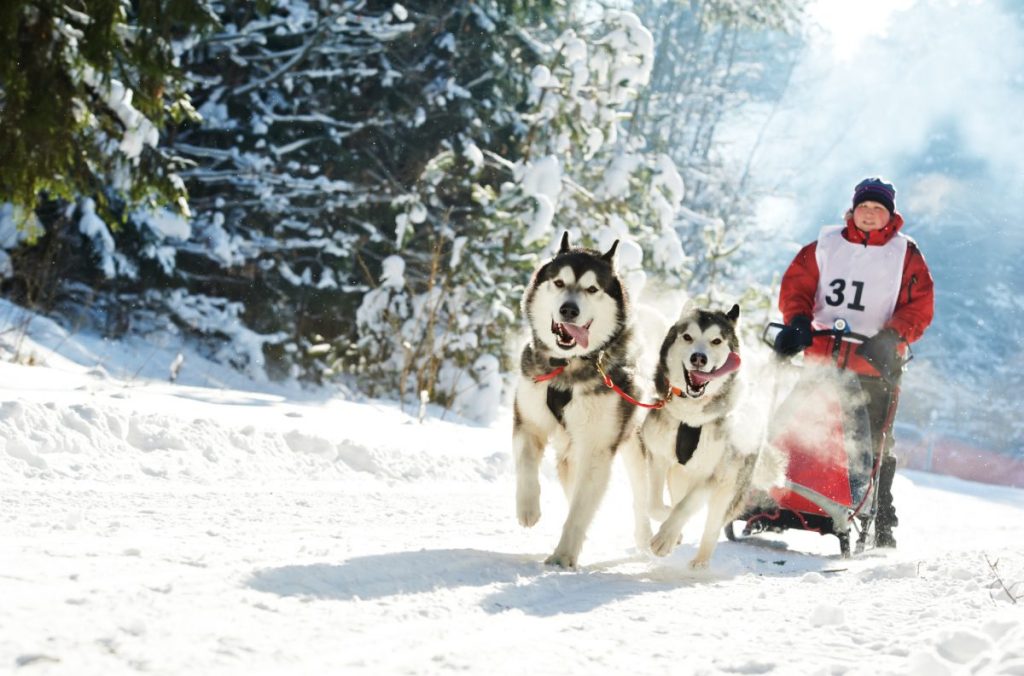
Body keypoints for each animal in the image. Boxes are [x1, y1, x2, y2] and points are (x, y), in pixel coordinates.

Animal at [512, 229, 638, 569]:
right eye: (558, 282)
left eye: (592, 288)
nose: (569, 310)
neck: (567, 367)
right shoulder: (528, 422)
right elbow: (526, 465)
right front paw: (528, 508)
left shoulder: (596, 449)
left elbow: (580, 510)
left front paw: (563, 555)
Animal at [622, 303, 782, 569]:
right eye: (688, 337)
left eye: (716, 341)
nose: (699, 357)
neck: (691, 418)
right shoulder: (658, 458)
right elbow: (656, 504)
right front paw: (671, 530)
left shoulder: (715, 474)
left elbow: (686, 506)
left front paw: (665, 538)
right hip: (679, 476)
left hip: (728, 487)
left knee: (713, 525)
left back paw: (700, 563)